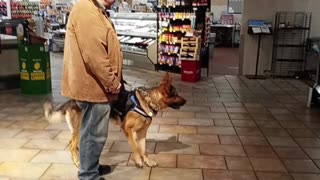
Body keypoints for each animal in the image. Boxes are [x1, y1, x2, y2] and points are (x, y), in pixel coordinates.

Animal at [43, 73, 186, 167]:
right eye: (176, 94)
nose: (186, 101)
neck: (148, 101)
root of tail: (71, 101)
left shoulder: (142, 132)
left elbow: (143, 148)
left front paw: (147, 160)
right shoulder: (127, 129)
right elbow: (136, 147)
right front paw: (139, 161)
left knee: (73, 144)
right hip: (79, 129)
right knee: (72, 145)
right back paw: (77, 161)